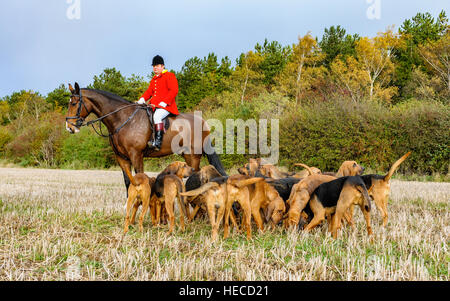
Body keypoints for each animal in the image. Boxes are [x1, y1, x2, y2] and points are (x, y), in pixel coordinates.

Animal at [65, 82, 227, 192]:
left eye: (74, 103)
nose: (69, 127)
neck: (122, 119)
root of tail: (203, 122)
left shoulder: (136, 155)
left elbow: (140, 179)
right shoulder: (121, 158)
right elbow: (128, 181)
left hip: (193, 156)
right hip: (187, 156)